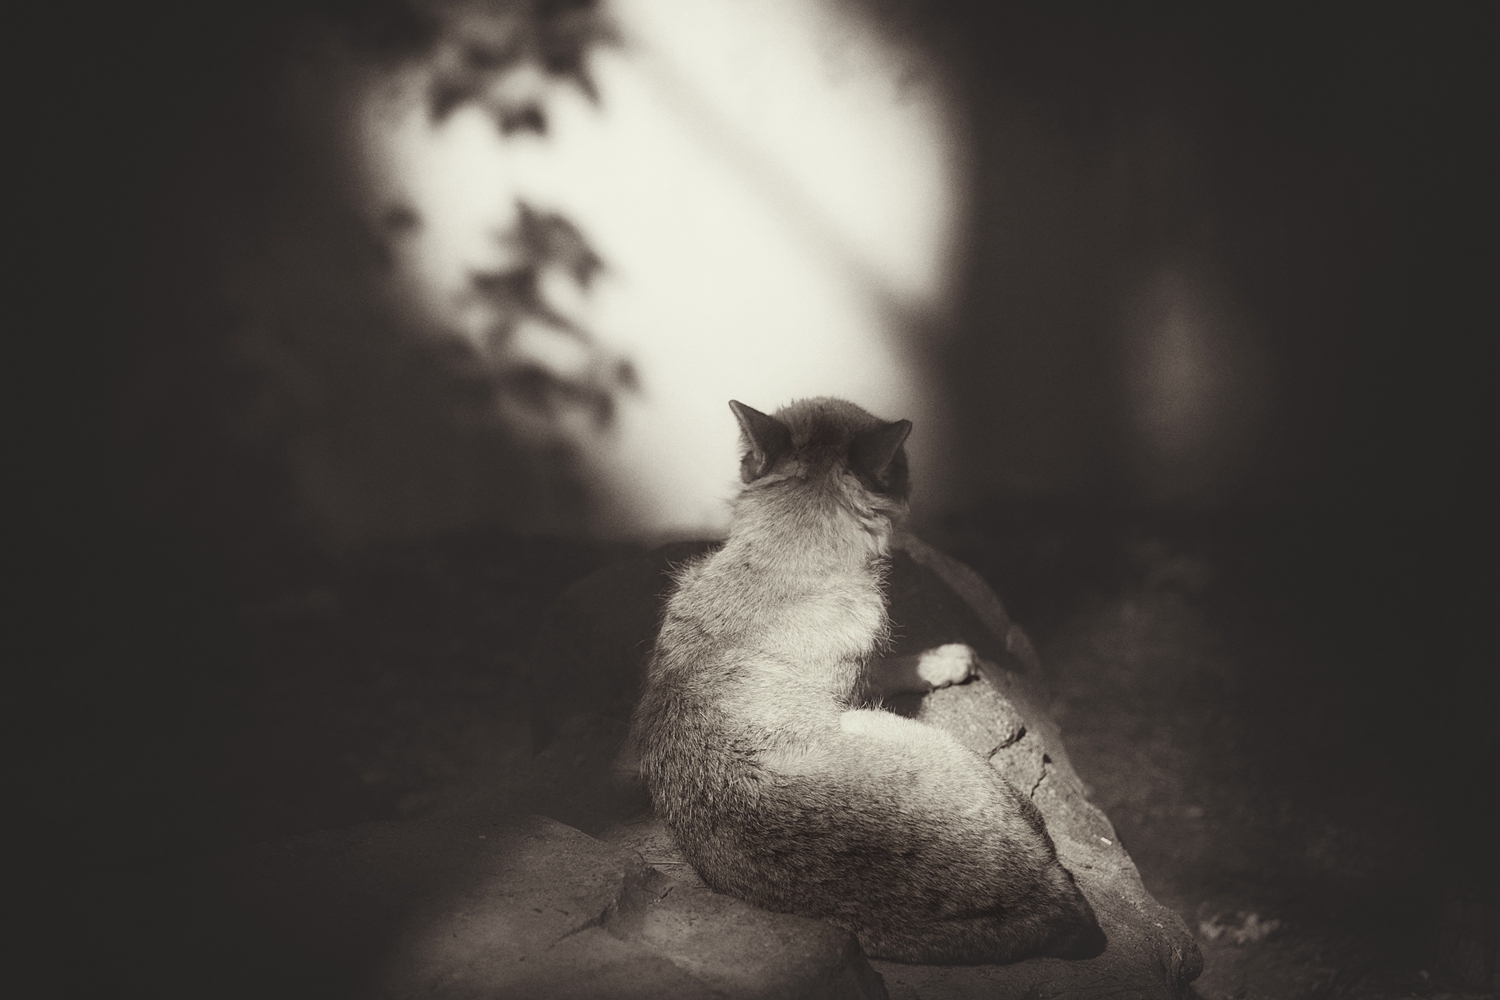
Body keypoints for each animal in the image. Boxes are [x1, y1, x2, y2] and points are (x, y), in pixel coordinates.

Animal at [630, 397, 1105, 964]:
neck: (783, 558)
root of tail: (1040, 898)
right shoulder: (860, 681)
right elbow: (899, 663)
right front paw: (946, 660)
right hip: (908, 732)